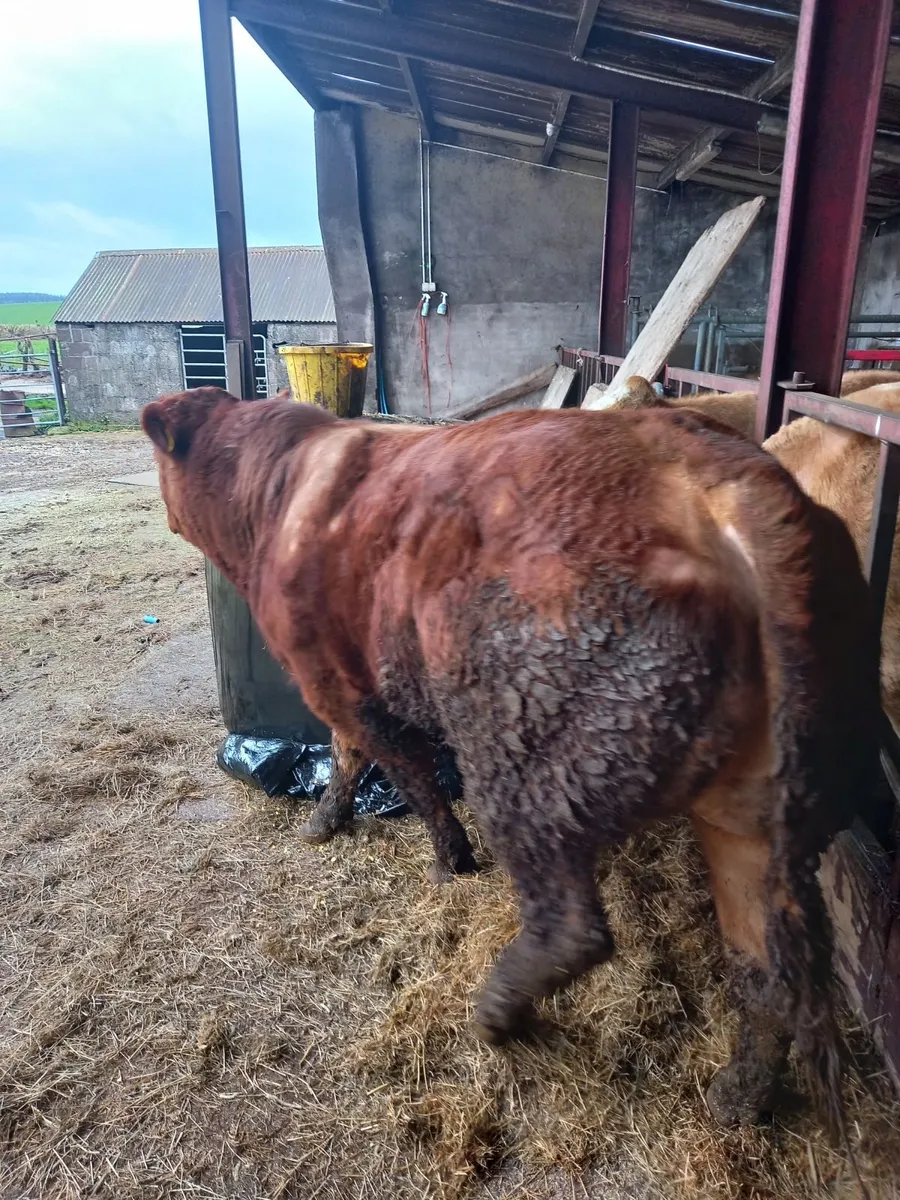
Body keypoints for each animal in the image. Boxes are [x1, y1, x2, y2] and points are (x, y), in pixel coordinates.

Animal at [142, 386, 880, 1133]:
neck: (277, 492)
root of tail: (725, 475)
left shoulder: (337, 682)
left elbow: (394, 768)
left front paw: (434, 857)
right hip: (751, 812)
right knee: (763, 965)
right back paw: (738, 1095)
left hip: (522, 768)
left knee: (572, 928)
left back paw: (496, 1016)